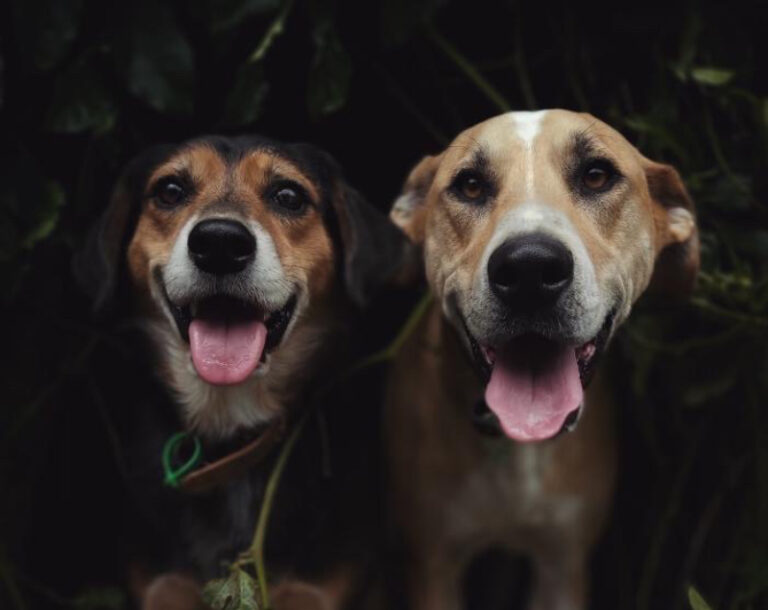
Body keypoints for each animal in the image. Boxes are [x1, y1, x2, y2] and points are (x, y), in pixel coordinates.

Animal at [78, 137, 408, 608]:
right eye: (170, 191)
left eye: (288, 196)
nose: (219, 242)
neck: (230, 422)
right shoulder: (162, 586)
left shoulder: (316, 591)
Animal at [388, 110, 700, 608]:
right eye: (470, 185)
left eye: (596, 176)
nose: (529, 268)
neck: (519, 448)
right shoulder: (434, 563)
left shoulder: (563, 563)